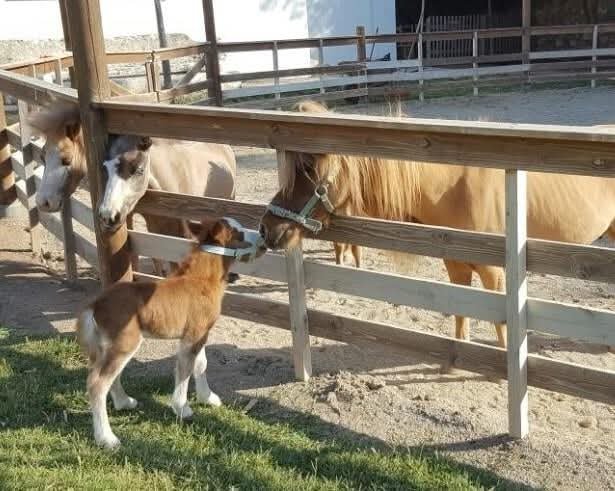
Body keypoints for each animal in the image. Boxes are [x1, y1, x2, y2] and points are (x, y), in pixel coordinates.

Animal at [76, 219, 264, 450]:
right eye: (238, 234)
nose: (263, 238)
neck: (200, 279)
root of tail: (95, 305)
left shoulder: (200, 333)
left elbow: (201, 364)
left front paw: (208, 398)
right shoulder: (192, 337)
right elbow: (185, 370)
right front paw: (182, 409)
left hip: (110, 346)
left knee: (109, 376)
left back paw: (124, 403)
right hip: (125, 343)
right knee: (97, 383)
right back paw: (106, 438)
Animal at [258, 100, 615, 348]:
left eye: (308, 168)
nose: (267, 229)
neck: (455, 190)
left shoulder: (495, 272)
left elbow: (500, 324)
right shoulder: (455, 265)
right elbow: (461, 312)